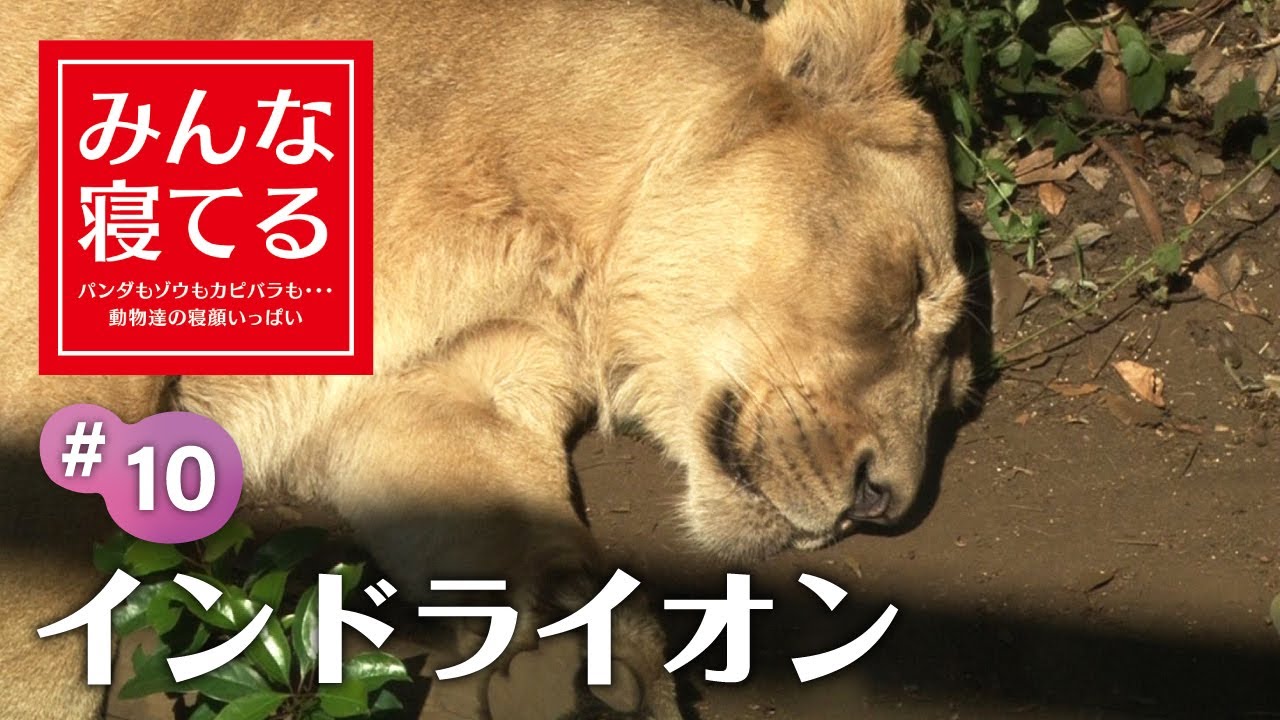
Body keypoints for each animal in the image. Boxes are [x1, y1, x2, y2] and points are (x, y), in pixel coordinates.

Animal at [0, 0, 972, 718]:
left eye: (956, 396)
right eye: (911, 290)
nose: (888, 503)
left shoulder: (434, 397)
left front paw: (592, 665)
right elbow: (31, 624)